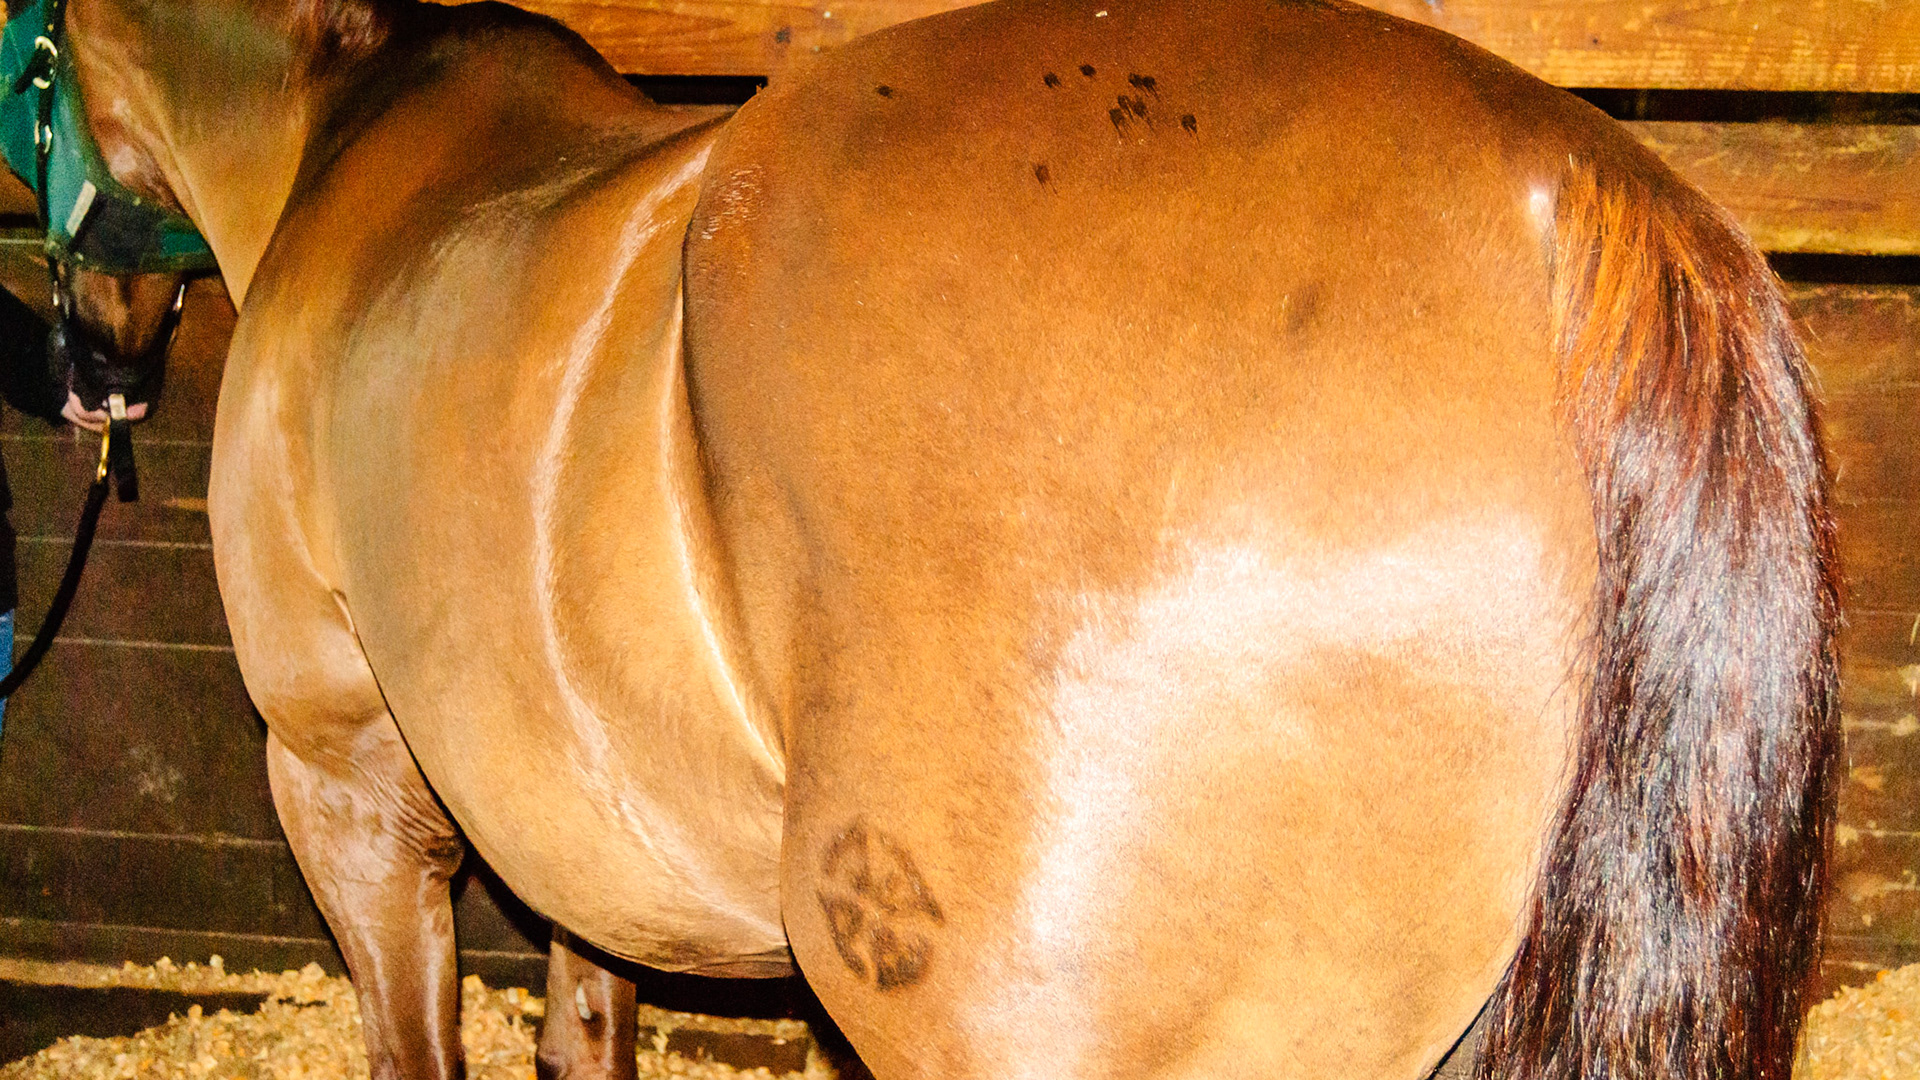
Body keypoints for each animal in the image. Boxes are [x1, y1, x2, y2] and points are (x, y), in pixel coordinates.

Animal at [49, 0, 1841, 1077]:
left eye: (39, 74)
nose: (94, 370)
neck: (348, 144)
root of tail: (1557, 187)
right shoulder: (566, 821)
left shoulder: (341, 774)